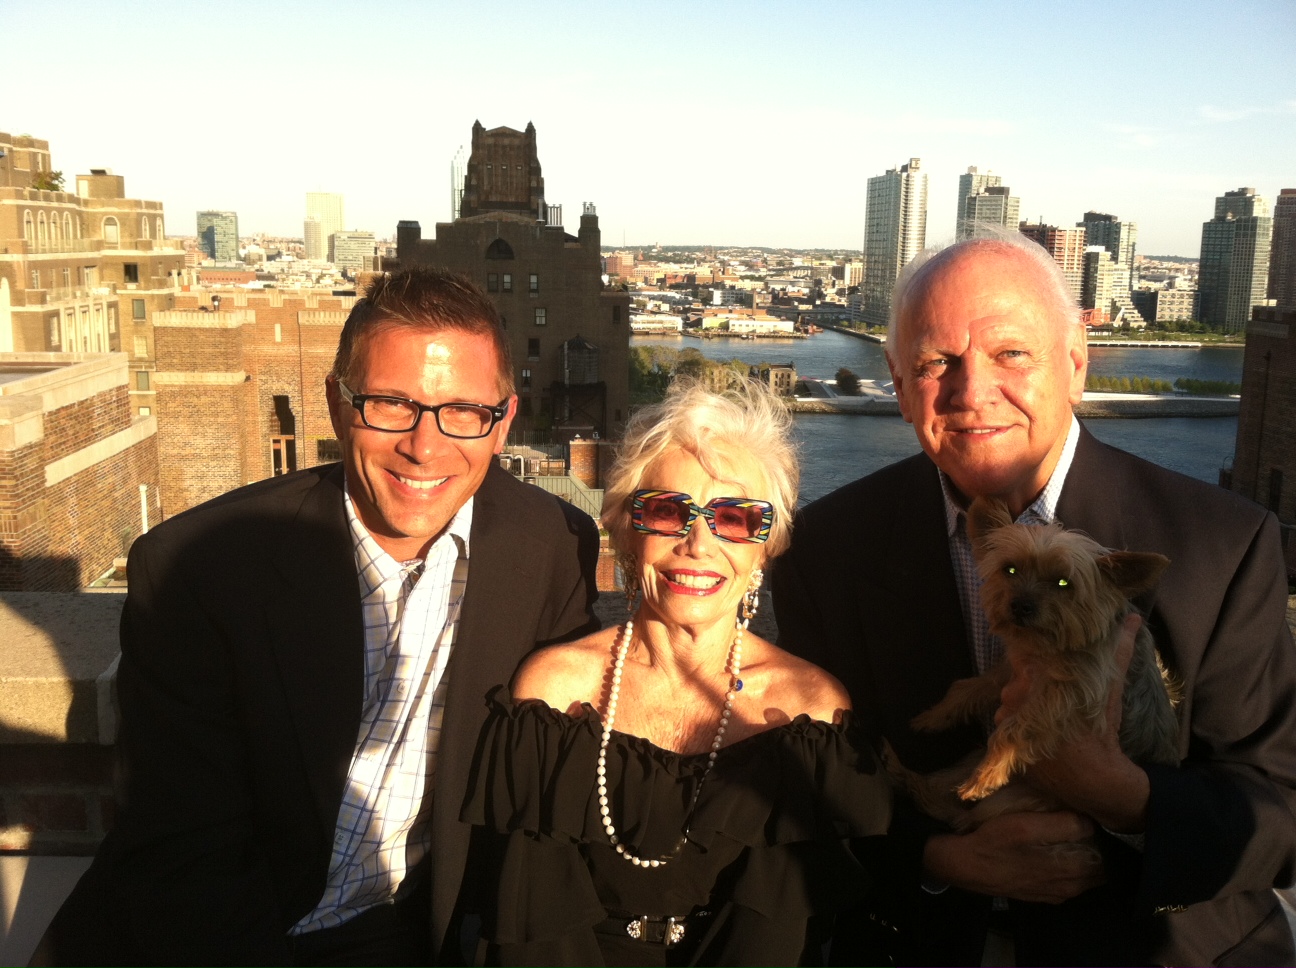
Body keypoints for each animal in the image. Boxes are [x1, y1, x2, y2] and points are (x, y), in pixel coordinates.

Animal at [896, 495, 1181, 829]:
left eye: (1063, 583)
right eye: (1010, 569)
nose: (1020, 605)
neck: (1047, 649)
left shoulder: (1077, 691)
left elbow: (1017, 725)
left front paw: (987, 773)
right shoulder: (1012, 669)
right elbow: (967, 688)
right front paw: (933, 717)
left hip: (1013, 801)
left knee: (965, 817)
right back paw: (903, 773)